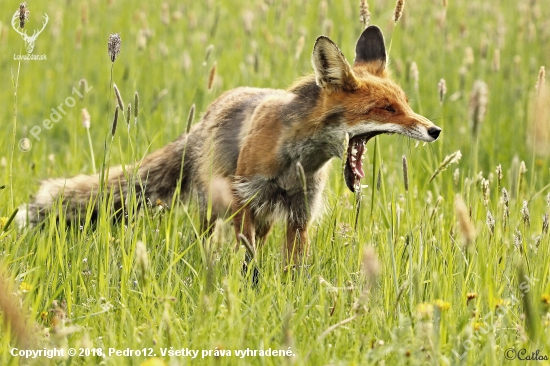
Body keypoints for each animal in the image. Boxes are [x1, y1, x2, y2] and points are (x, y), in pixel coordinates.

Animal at [17, 26, 442, 266]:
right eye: (386, 108)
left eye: (405, 103)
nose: (435, 130)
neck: (297, 162)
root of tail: (202, 121)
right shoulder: (243, 201)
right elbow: (248, 262)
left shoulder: (299, 214)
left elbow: (293, 271)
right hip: (216, 208)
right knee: (205, 240)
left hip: (266, 216)